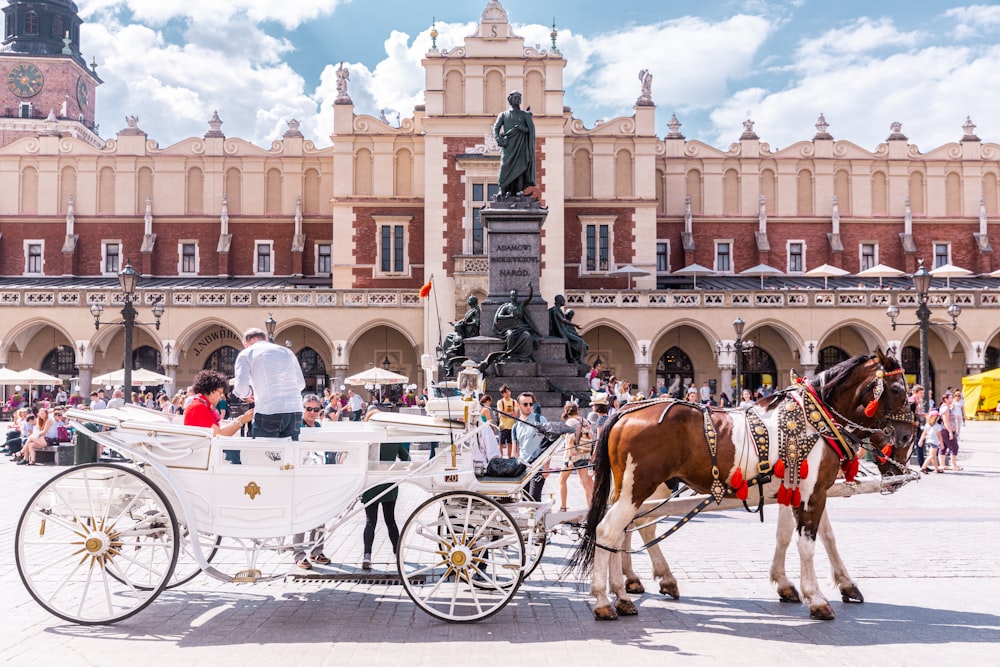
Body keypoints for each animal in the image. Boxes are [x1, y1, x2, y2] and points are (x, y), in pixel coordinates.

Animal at [572, 352, 916, 620]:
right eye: (897, 389)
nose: (907, 437)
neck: (814, 422)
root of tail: (623, 412)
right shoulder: (812, 493)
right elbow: (808, 543)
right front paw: (816, 599)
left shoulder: (797, 491)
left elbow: (803, 536)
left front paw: (808, 584)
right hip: (639, 486)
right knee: (609, 531)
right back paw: (605, 601)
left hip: (631, 488)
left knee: (623, 532)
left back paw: (624, 595)